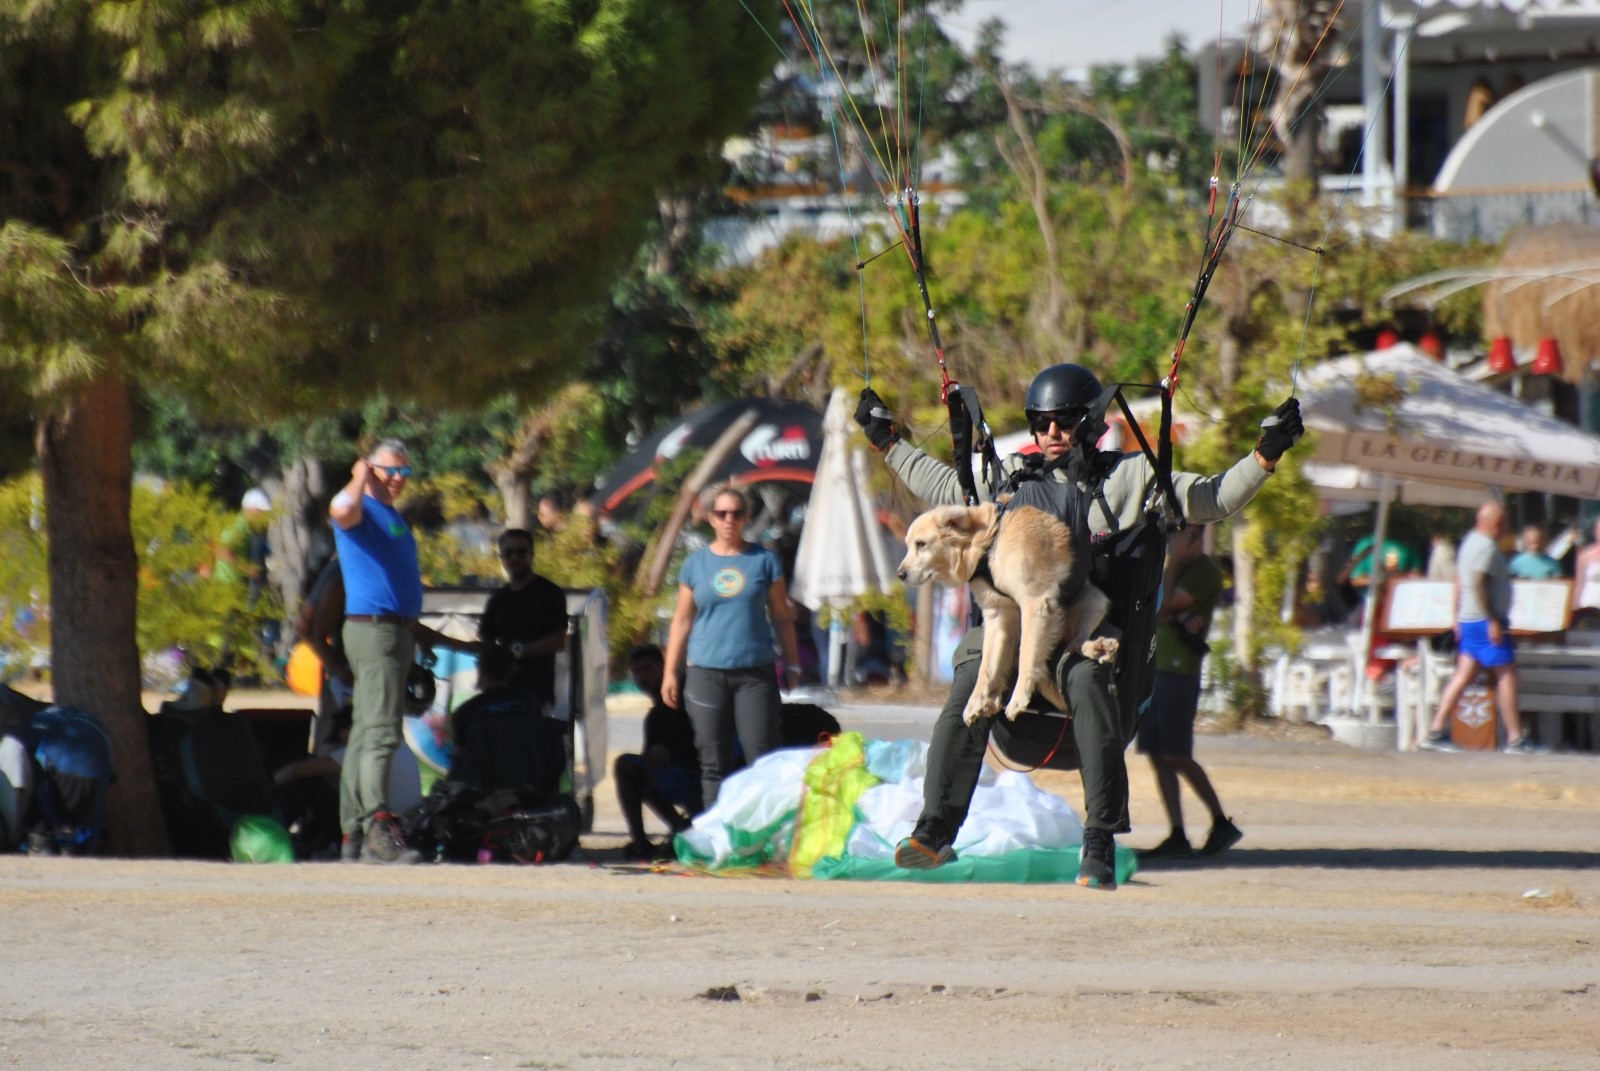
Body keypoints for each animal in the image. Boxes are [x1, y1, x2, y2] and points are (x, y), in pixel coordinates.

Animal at [902, 502, 1113, 723]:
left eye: (920, 544)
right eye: (909, 545)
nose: (900, 574)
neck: (988, 541)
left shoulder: (1035, 603)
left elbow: (1026, 655)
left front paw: (1018, 698)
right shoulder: (998, 614)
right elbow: (986, 665)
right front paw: (976, 701)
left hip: (1094, 600)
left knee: (1073, 643)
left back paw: (1097, 647)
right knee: (1069, 646)